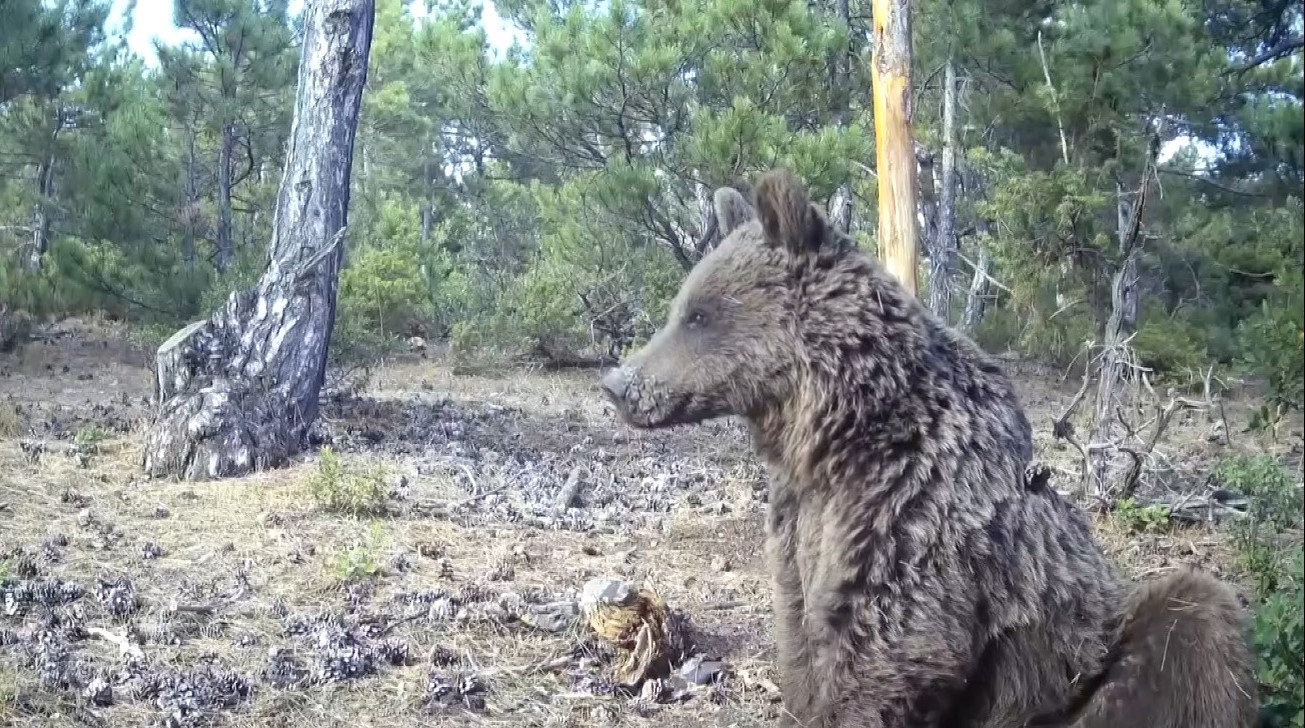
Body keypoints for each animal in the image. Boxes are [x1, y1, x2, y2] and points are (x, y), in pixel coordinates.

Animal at [597, 168, 1258, 725]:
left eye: (698, 315)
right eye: (683, 307)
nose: (618, 385)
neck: (837, 431)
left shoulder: (910, 502)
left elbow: (889, 643)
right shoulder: (802, 515)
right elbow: (803, 629)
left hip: (1086, 656)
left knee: (1191, 623)